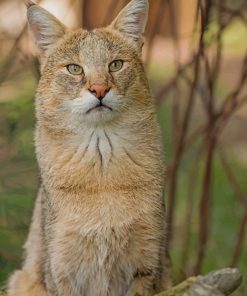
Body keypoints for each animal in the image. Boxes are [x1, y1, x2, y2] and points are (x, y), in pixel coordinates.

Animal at [7, 0, 170, 296]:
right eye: (74, 69)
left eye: (115, 65)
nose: (99, 89)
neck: (101, 169)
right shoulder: (62, 273)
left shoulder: (147, 266)